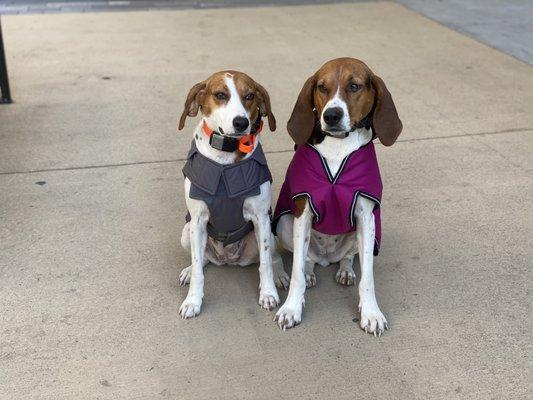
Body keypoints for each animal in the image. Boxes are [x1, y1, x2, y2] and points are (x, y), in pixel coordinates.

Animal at [177, 69, 288, 318]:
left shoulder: (261, 218)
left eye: (249, 96)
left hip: (269, 234)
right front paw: (193, 301)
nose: (241, 122)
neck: (226, 158)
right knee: (202, 260)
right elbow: (198, 267)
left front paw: (268, 293)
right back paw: (189, 269)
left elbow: (265, 264)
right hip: (186, 232)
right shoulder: (197, 221)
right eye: (220, 94)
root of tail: (227, 259)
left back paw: (279, 274)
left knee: (273, 257)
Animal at [272, 57, 402, 334]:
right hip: (286, 223)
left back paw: (345, 270)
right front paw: (291, 308)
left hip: (366, 233)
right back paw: (310, 270)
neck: (338, 145)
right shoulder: (303, 212)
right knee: (306, 258)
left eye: (354, 86)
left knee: (348, 258)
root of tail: (326, 258)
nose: (331, 115)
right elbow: (296, 272)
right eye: (322, 87)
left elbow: (368, 278)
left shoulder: (365, 216)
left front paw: (371, 313)